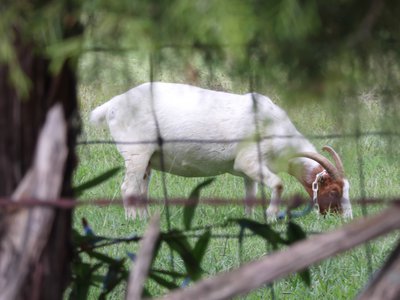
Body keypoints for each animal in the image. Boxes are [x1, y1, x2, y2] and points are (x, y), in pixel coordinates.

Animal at [90, 82, 354, 218]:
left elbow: (250, 195)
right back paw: (132, 219)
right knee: (128, 187)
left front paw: (250, 219)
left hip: (148, 158)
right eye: (332, 190)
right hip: (136, 152)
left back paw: (144, 218)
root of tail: (112, 105)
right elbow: (279, 184)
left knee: (141, 187)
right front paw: (271, 215)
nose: (345, 217)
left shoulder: (251, 172)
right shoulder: (248, 161)